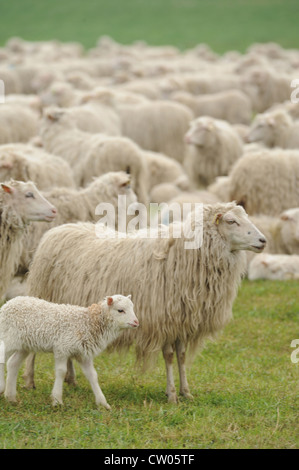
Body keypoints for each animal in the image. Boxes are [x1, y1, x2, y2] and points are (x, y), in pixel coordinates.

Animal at [0, 294, 138, 408]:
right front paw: (57, 400)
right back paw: (2, 388)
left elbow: (92, 375)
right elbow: (61, 372)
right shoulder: (62, 348)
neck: (88, 322)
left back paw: (11, 397)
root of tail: (7, 304)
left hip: (24, 345)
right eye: (120, 310)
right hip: (8, 338)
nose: (136, 322)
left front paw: (103, 403)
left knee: (12, 364)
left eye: (132, 308)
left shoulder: (84, 354)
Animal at [25, 200, 268, 402]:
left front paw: (186, 392)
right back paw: (29, 380)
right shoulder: (164, 319)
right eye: (231, 221)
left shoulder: (181, 320)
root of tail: (58, 229)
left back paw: (71, 379)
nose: (263, 241)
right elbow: (169, 357)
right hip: (41, 299)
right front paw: (172, 395)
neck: (186, 254)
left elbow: (181, 356)